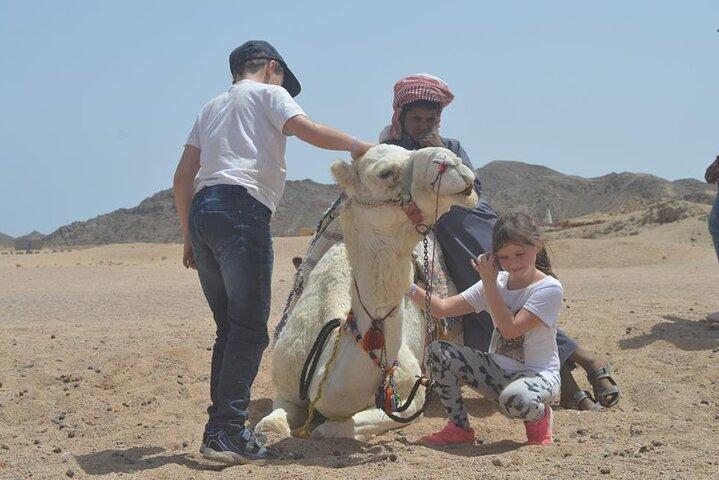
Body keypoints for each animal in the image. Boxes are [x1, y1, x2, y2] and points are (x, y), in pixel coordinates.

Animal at [255, 144, 478, 441]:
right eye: (386, 172)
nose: (452, 162)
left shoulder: (410, 396)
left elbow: (331, 429)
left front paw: (328, 427)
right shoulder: (287, 389)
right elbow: (270, 424)